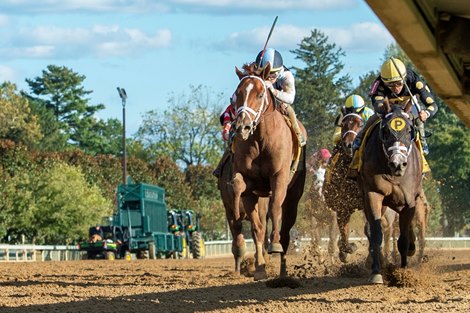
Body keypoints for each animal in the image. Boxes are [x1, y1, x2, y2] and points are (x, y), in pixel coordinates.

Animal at [229, 62, 306, 280]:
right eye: (236, 94)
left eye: (261, 93)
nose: (242, 126)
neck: (261, 139)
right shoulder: (249, 186)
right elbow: (256, 227)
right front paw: (260, 268)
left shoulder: (278, 177)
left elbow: (274, 210)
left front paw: (275, 244)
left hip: (294, 194)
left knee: (286, 228)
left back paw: (283, 270)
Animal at [324, 111, 366, 260]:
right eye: (343, 125)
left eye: (361, 125)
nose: (349, 144)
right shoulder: (342, 206)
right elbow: (343, 232)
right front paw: (346, 249)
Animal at [358, 102, 424, 282]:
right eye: (386, 131)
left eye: (409, 130)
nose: (398, 163)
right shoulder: (373, 194)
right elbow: (376, 232)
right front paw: (376, 272)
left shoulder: (408, 201)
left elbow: (403, 238)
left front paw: (404, 272)